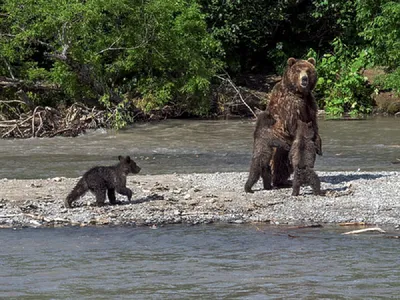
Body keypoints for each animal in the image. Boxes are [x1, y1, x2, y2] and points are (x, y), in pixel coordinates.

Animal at [268, 57, 322, 186]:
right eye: (298, 70)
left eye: (308, 70)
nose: (304, 78)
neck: (299, 93)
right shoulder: (290, 105)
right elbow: (295, 124)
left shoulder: (310, 103)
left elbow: (313, 123)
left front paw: (318, 143)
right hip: (278, 142)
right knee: (276, 159)